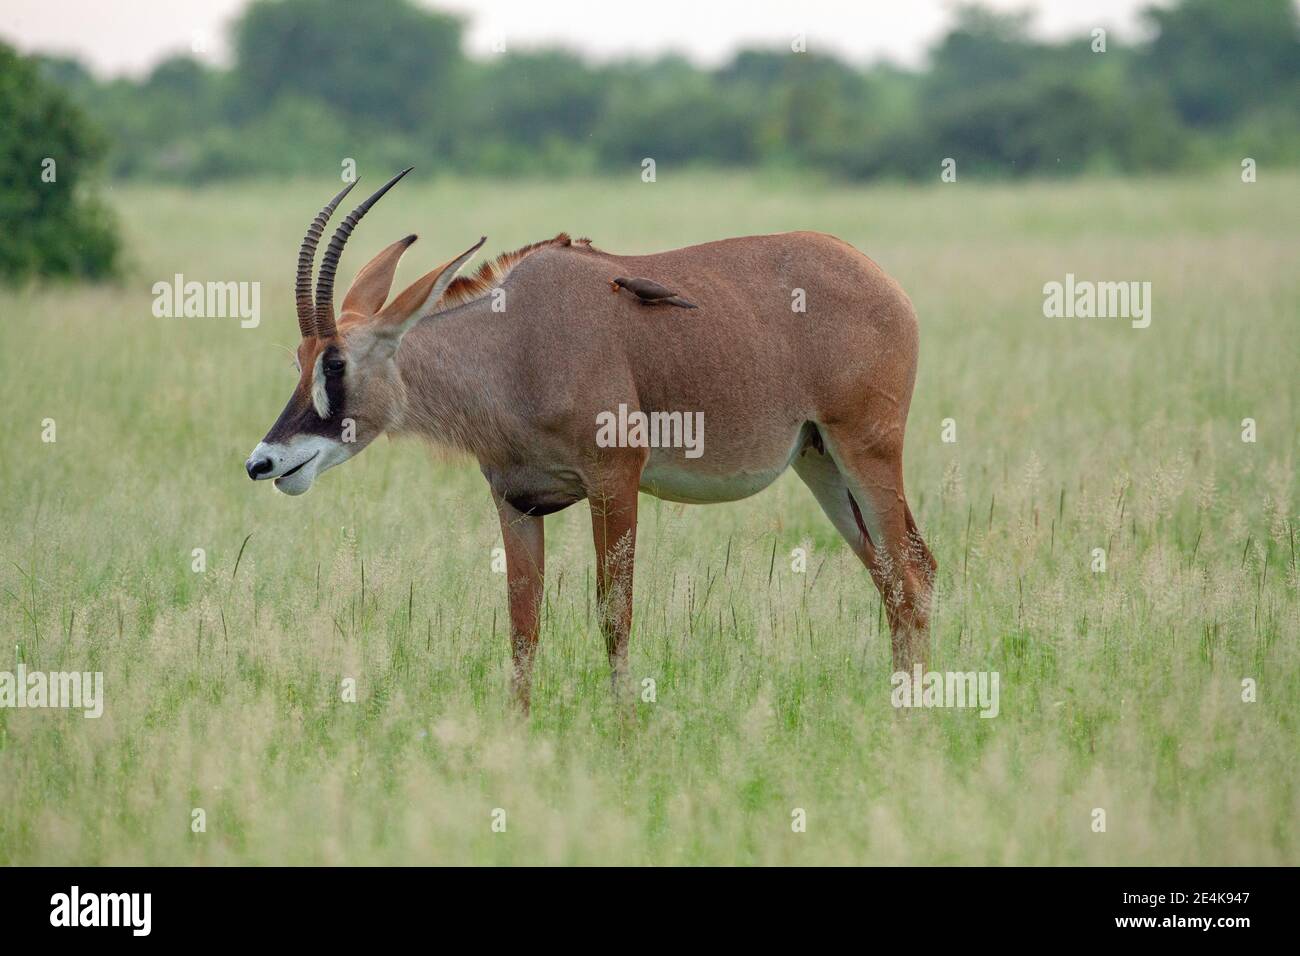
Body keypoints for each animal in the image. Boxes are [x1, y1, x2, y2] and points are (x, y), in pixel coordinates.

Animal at [245, 169, 935, 710]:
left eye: (336, 363)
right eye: (301, 360)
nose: (263, 463)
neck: (512, 343)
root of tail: (885, 283)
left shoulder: (614, 482)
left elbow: (613, 613)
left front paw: (626, 732)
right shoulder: (516, 501)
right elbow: (523, 622)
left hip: (866, 450)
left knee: (911, 580)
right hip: (820, 464)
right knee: (900, 578)